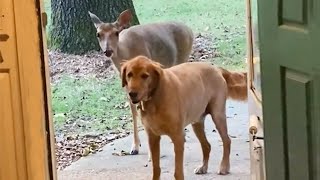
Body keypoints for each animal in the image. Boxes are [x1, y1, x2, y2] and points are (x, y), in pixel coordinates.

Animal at [87, 9, 192, 159]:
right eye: (98, 34)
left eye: (116, 32)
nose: (108, 51)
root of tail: (189, 30)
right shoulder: (126, 85)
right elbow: (133, 112)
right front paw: (135, 147)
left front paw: (151, 151)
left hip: (183, 57)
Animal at [120, 55, 248, 179]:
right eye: (129, 75)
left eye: (145, 76)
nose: (131, 94)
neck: (154, 97)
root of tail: (216, 68)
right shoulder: (153, 137)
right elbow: (156, 169)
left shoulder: (178, 137)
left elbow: (178, 172)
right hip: (197, 123)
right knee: (207, 145)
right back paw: (203, 167)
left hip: (218, 115)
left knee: (227, 140)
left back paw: (224, 166)